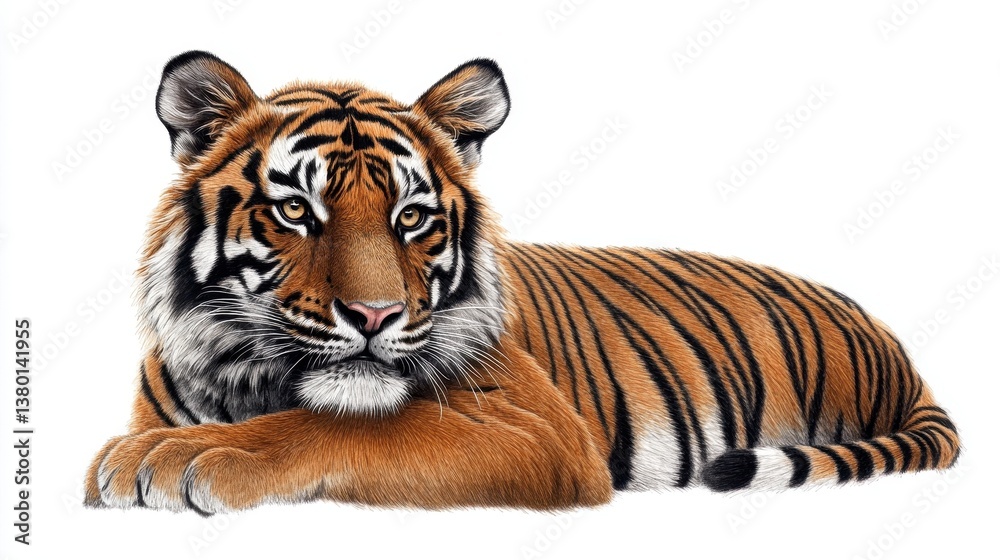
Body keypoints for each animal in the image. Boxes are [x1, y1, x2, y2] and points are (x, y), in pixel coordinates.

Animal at [84, 51, 960, 514]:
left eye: (411, 217)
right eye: (297, 210)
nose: (375, 315)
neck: (252, 380)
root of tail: (894, 345)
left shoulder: (537, 428)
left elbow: (345, 428)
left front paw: (174, 460)